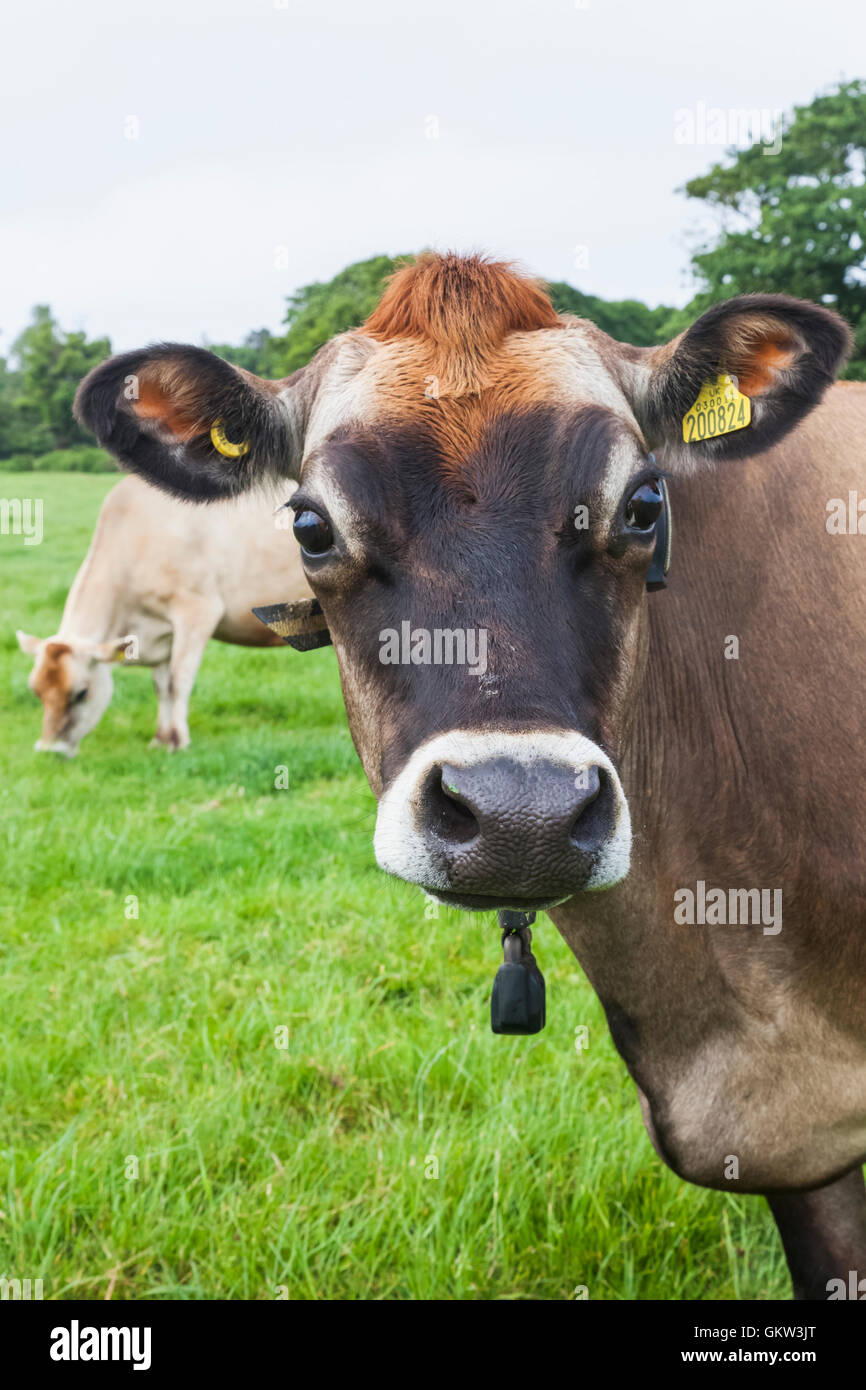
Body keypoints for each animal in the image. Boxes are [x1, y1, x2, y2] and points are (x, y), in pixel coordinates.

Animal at [17, 474, 311, 756]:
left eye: (81, 693)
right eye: (36, 691)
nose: (49, 750)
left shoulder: (197, 611)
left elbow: (177, 682)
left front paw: (178, 741)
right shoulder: (162, 631)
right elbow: (160, 686)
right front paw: (160, 739)